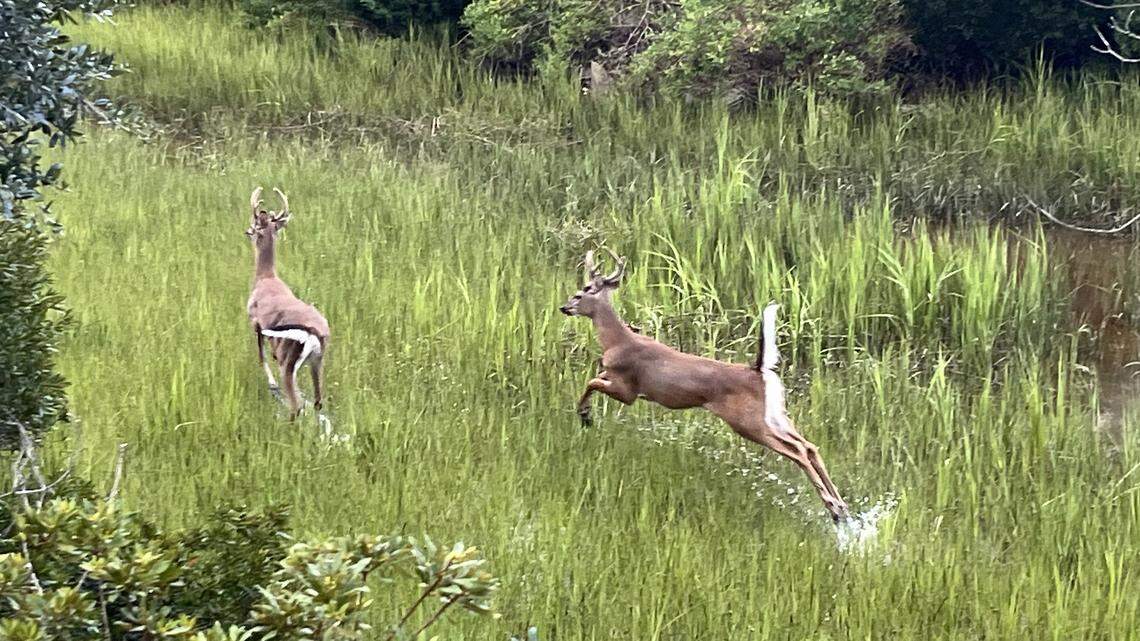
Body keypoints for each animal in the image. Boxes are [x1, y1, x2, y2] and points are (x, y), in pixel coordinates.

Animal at [245, 187, 330, 421]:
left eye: (253, 226)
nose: (247, 231)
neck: (266, 278)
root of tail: (313, 333)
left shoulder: (256, 323)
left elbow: (261, 357)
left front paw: (272, 386)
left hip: (289, 359)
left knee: (296, 404)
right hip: (317, 360)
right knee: (318, 401)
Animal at [560, 249, 850, 522]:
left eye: (582, 292)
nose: (564, 307)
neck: (616, 341)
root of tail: (758, 370)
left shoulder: (628, 389)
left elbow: (591, 382)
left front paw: (585, 416)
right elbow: (593, 380)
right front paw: (586, 416)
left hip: (748, 420)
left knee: (798, 450)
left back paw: (833, 507)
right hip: (777, 413)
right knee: (810, 445)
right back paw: (841, 507)